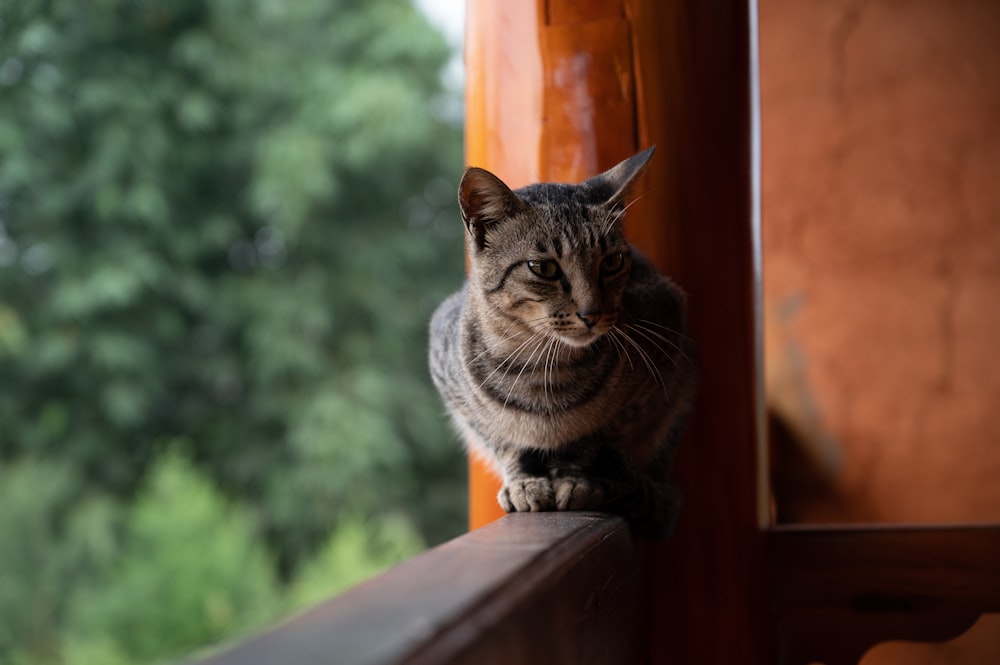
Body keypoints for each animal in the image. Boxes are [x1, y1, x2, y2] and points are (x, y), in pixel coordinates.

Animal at [430, 148, 696, 536]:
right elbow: (504, 442)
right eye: (543, 268)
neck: (541, 369)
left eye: (612, 261)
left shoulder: (665, 367)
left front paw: (579, 479)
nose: (592, 313)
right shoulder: (455, 392)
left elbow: (595, 441)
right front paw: (524, 482)